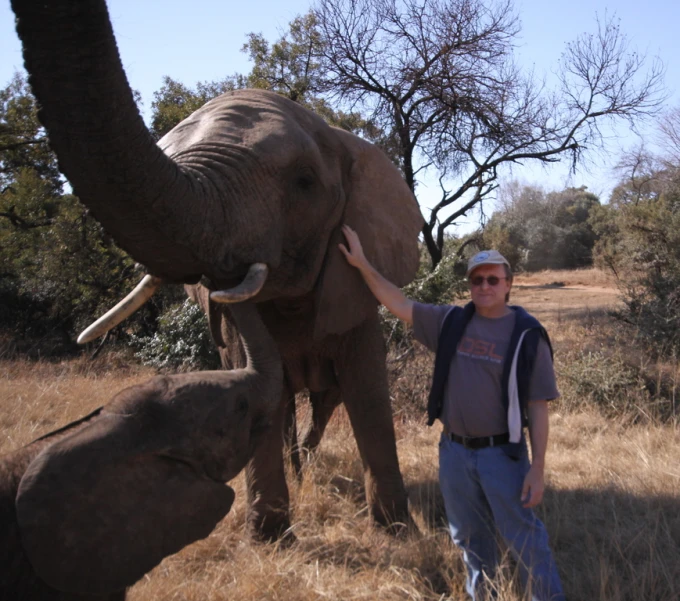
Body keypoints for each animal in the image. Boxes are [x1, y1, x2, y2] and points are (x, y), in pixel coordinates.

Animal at [11, 0, 424, 540]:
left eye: (305, 182)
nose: (222, 272)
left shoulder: (352, 290)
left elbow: (367, 391)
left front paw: (398, 534)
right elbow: (259, 391)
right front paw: (271, 540)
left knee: (324, 401)